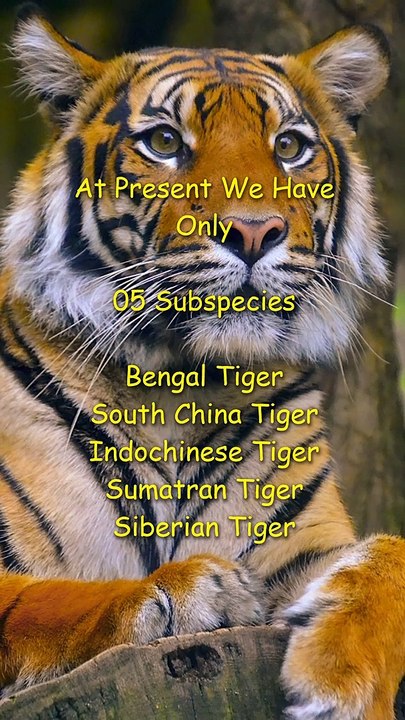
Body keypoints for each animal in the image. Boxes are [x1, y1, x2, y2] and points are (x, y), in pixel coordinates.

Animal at [0, 4, 404, 719]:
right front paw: (186, 592)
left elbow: (395, 555)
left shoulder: (305, 545)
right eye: (164, 142)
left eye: (290, 148)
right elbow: (45, 595)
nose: (253, 231)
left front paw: (344, 678)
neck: (182, 381)